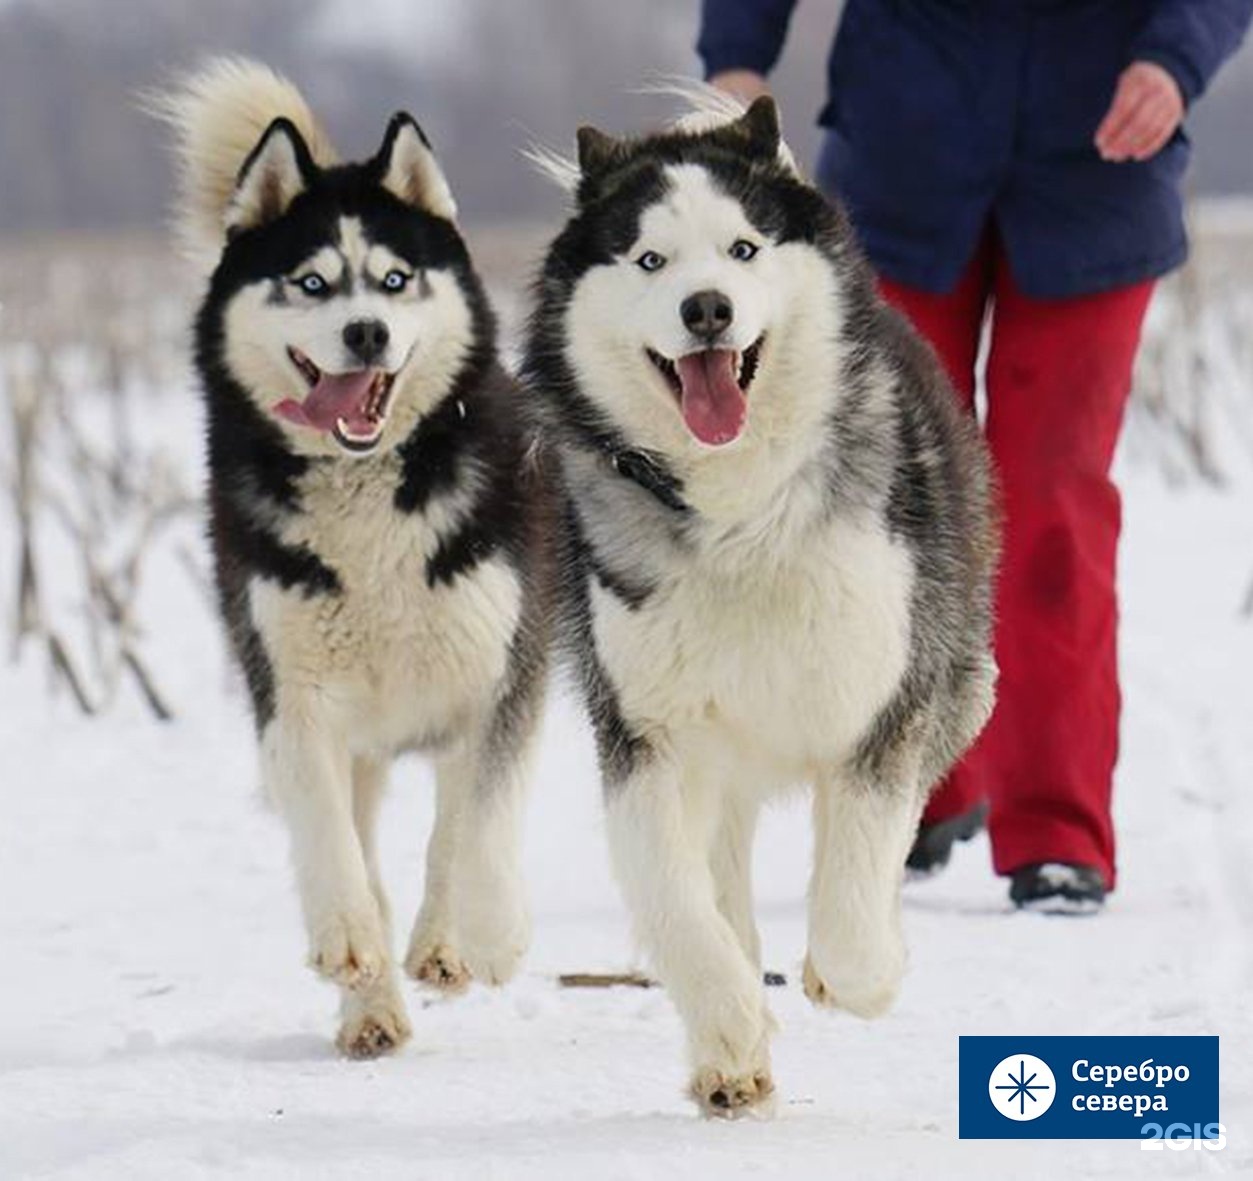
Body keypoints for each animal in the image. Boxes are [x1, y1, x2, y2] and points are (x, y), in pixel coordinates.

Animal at [155, 60, 548, 1057]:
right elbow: (332, 841)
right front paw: (346, 941)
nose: (365, 330)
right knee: (369, 846)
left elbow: (477, 820)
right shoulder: (292, 693)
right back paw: (370, 1005)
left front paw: (482, 932)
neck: (369, 493)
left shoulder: (500, 670)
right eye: (310, 282)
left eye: (395, 278)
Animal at [523, 99, 992, 1117]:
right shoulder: (644, 732)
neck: (738, 511)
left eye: (742, 248)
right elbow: (675, 900)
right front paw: (731, 1024)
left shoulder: (888, 698)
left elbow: (860, 877)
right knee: (720, 869)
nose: (707, 309)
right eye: (650, 259)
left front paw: (859, 972)